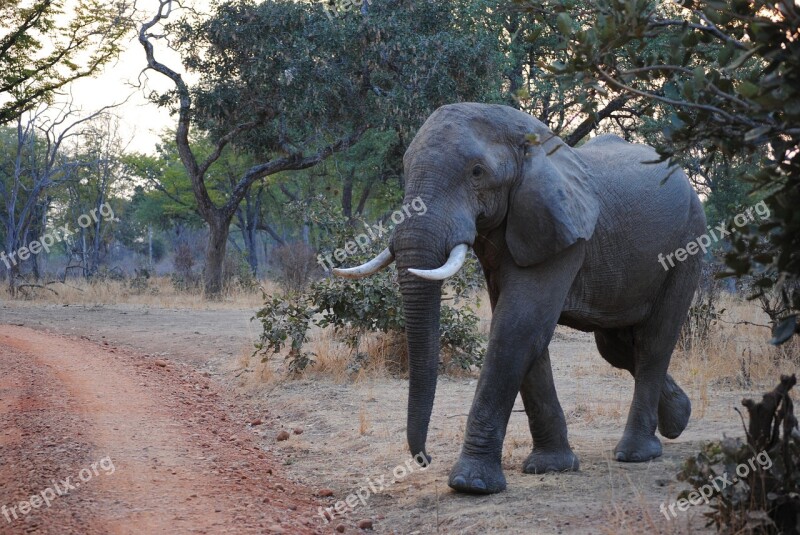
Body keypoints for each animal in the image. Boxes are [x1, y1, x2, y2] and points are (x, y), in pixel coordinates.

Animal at [334, 102, 704, 496]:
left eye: (477, 172)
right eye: (404, 170)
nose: (425, 458)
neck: (528, 140)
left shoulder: (565, 234)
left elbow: (517, 327)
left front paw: (471, 484)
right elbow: (524, 332)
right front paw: (552, 467)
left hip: (688, 244)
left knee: (654, 342)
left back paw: (637, 453)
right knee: (616, 347)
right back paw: (679, 419)